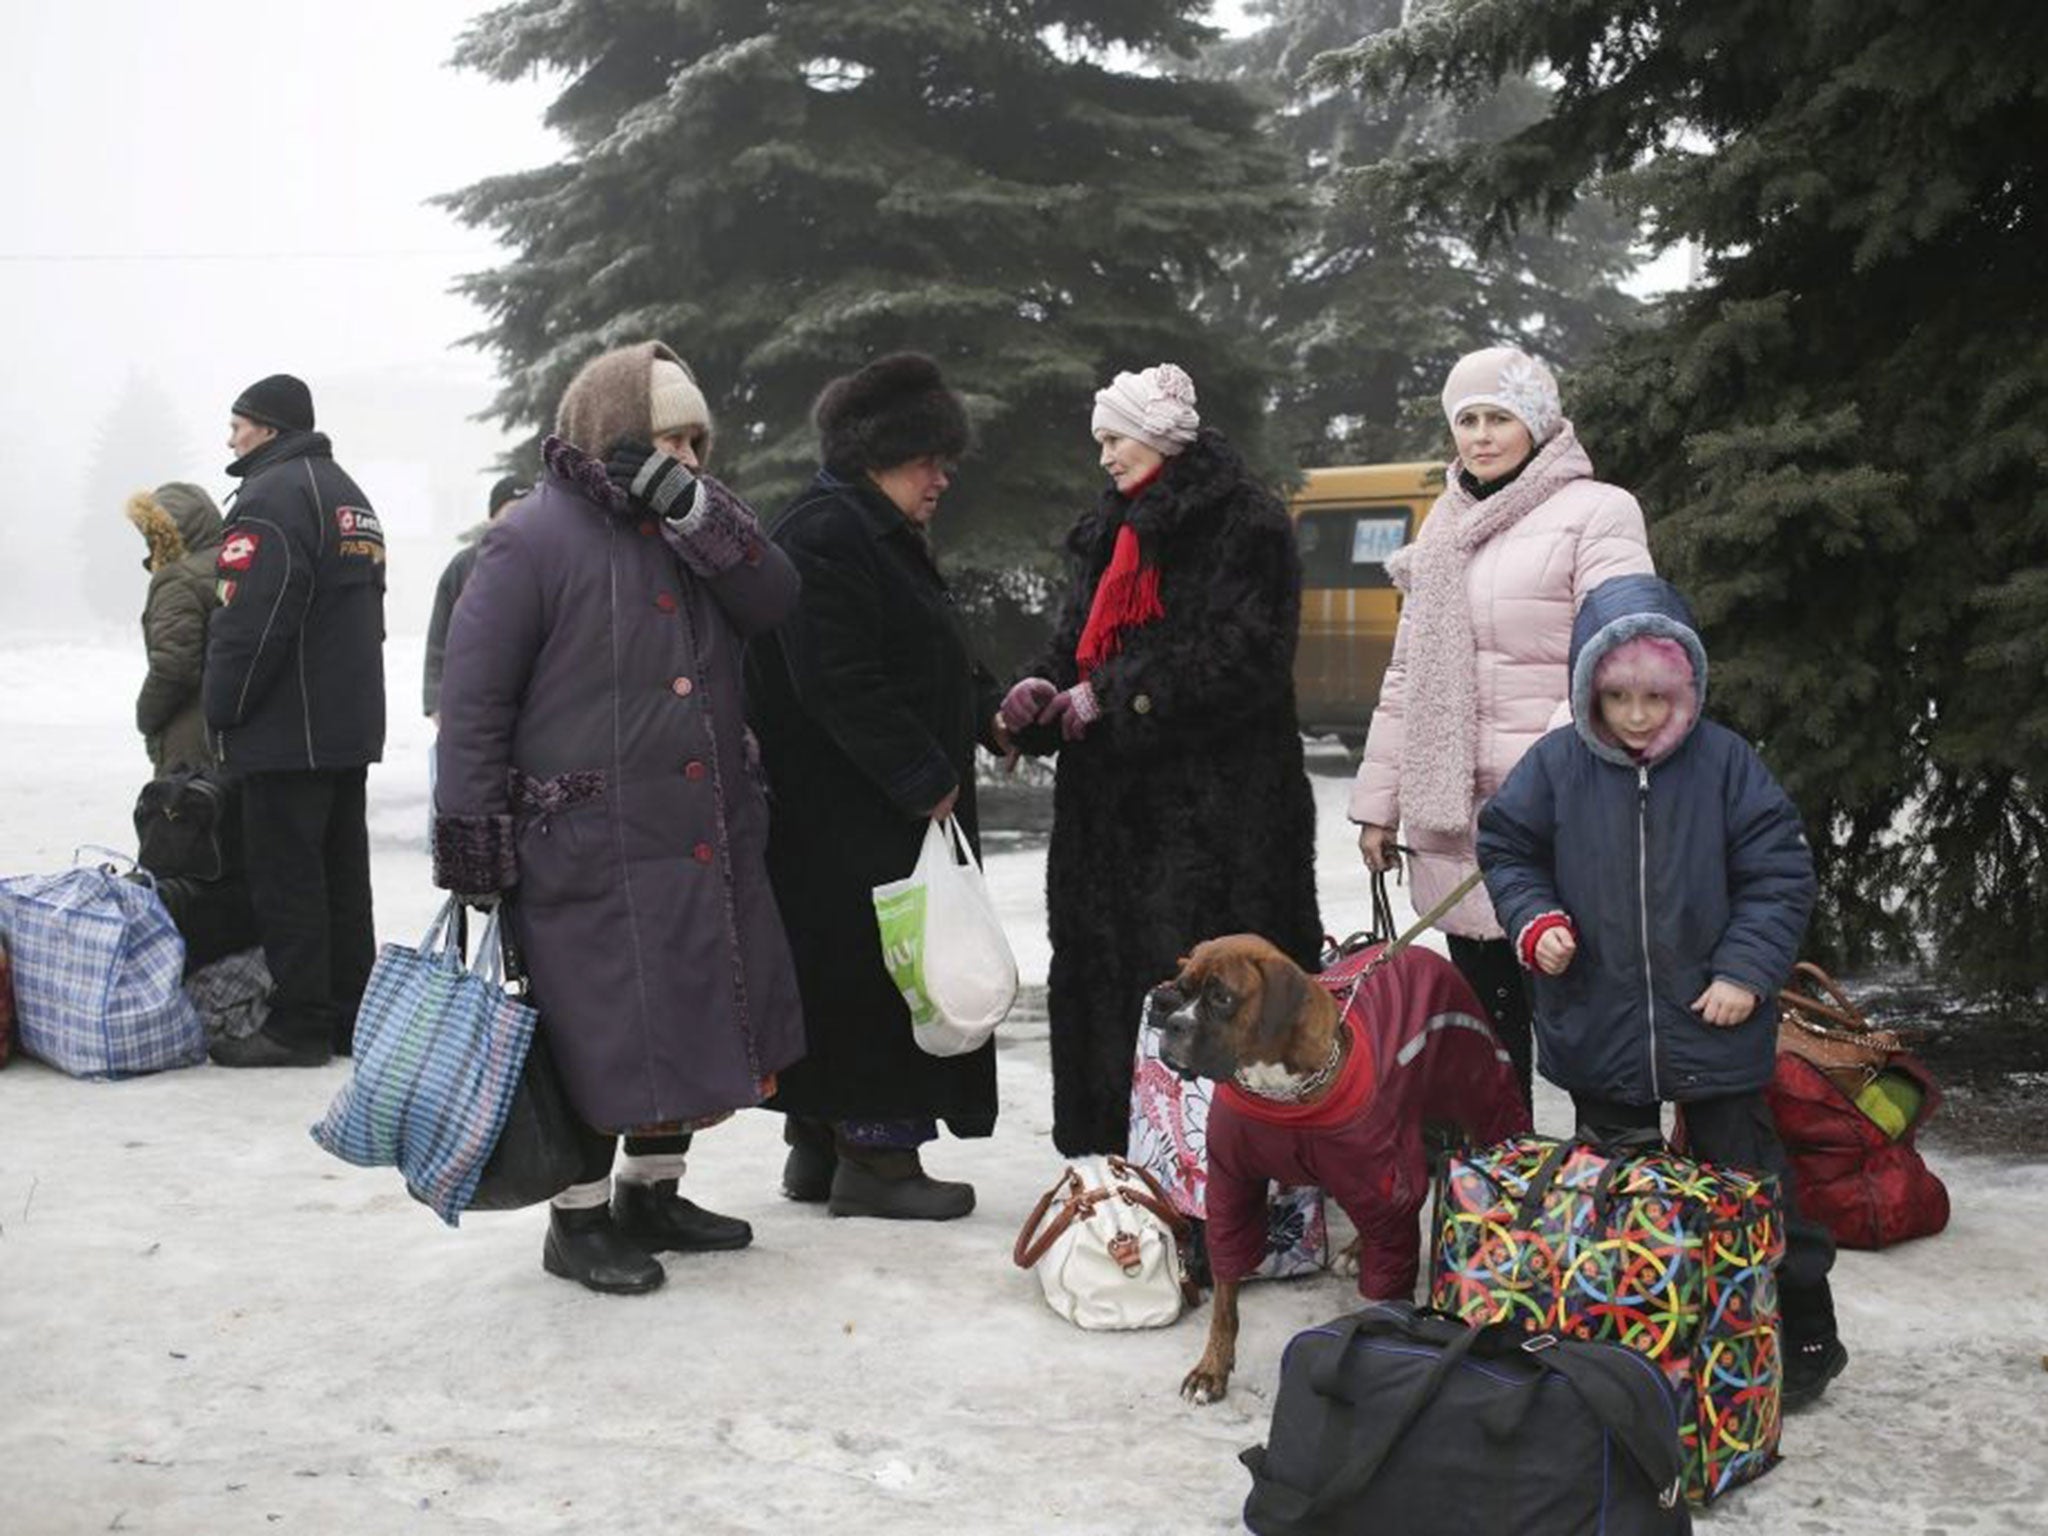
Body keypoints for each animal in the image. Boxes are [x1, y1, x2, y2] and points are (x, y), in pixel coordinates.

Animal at [1146, 937, 1531, 1409]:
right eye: (1181, 991)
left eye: (1222, 998)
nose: (1172, 1023)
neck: (1282, 1092)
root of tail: (1415, 948)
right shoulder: (1231, 1190)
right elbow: (1225, 1300)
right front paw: (1211, 1370)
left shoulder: (1379, 1183)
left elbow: (1388, 1290)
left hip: (1478, 1096)